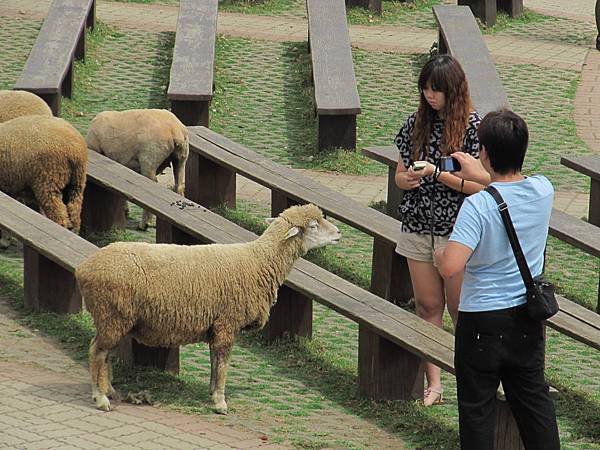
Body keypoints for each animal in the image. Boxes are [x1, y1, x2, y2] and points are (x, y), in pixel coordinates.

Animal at [74, 204, 342, 414]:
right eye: (314, 226)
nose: (339, 233)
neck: (258, 261)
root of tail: (84, 268)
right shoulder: (227, 322)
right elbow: (223, 362)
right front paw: (220, 402)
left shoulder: (217, 325)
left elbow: (215, 361)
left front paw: (213, 392)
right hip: (112, 316)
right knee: (96, 352)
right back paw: (101, 398)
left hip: (113, 319)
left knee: (104, 353)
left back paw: (110, 390)